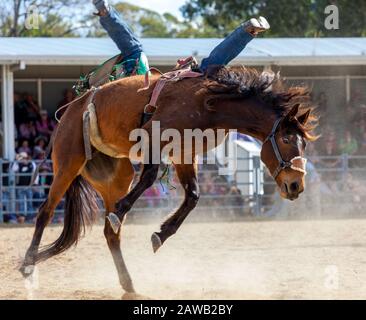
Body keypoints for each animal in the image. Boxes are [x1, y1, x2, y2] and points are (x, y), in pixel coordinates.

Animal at [20, 65, 318, 298]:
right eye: (286, 139)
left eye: (303, 143)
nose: (296, 186)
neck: (210, 103)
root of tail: (72, 109)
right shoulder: (154, 136)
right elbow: (151, 176)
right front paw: (125, 211)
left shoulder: (184, 154)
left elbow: (193, 196)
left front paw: (160, 234)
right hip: (67, 162)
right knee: (45, 212)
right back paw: (28, 263)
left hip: (115, 177)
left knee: (111, 233)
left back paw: (129, 283)